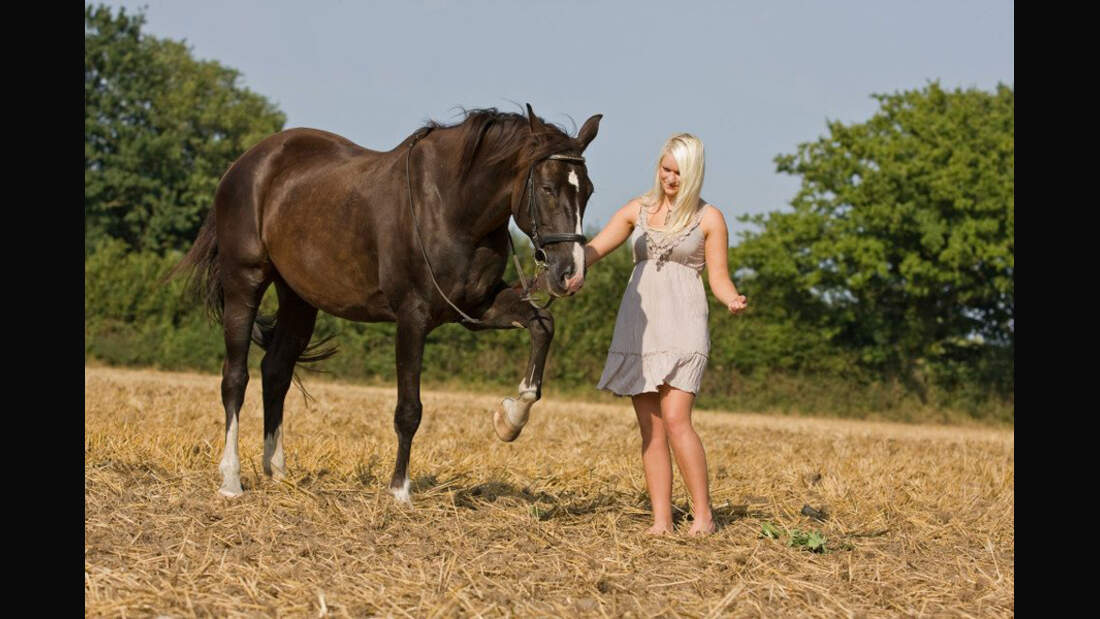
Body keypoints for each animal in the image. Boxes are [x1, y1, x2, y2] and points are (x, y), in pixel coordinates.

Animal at [171, 106, 602, 501]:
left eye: (588, 190)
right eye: (547, 189)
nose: (570, 273)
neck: (451, 207)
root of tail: (245, 164)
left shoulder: (477, 308)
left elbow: (542, 325)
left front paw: (510, 419)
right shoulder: (413, 316)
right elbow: (409, 409)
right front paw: (399, 490)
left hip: (299, 298)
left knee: (275, 371)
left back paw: (277, 471)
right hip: (244, 283)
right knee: (235, 378)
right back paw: (231, 480)